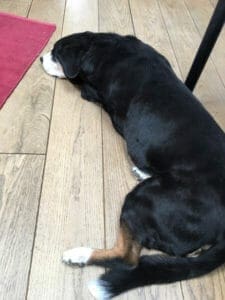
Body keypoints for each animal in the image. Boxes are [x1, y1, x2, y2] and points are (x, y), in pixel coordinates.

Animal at [41, 31, 225, 298]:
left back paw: (80, 254)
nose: (41, 58)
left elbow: (83, 86)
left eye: (56, 53)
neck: (102, 47)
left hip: (144, 199)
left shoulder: (95, 92)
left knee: (126, 258)